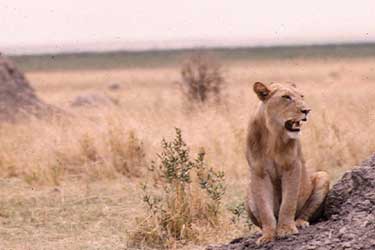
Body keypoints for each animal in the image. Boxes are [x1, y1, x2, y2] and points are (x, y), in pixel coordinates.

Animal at [245, 81, 330, 244]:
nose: (307, 110)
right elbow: (265, 209)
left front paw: (286, 230)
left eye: (302, 96)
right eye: (286, 97)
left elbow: (288, 202)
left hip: (323, 176)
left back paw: (300, 223)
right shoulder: (259, 172)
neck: (273, 136)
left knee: (304, 213)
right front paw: (268, 235)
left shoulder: (292, 167)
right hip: (248, 194)